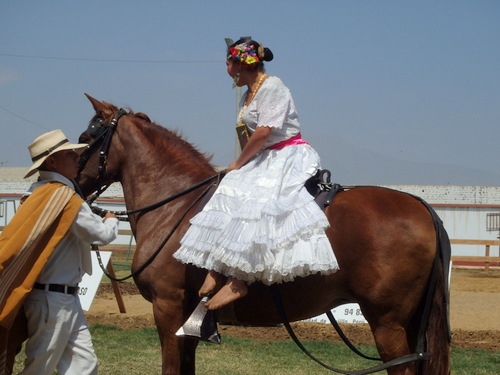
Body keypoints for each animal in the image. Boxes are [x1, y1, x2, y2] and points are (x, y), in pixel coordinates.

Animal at [76, 94, 452, 375]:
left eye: (85, 139)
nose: (75, 185)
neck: (177, 203)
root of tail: (423, 207)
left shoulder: (167, 309)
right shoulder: (187, 323)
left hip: (388, 324)